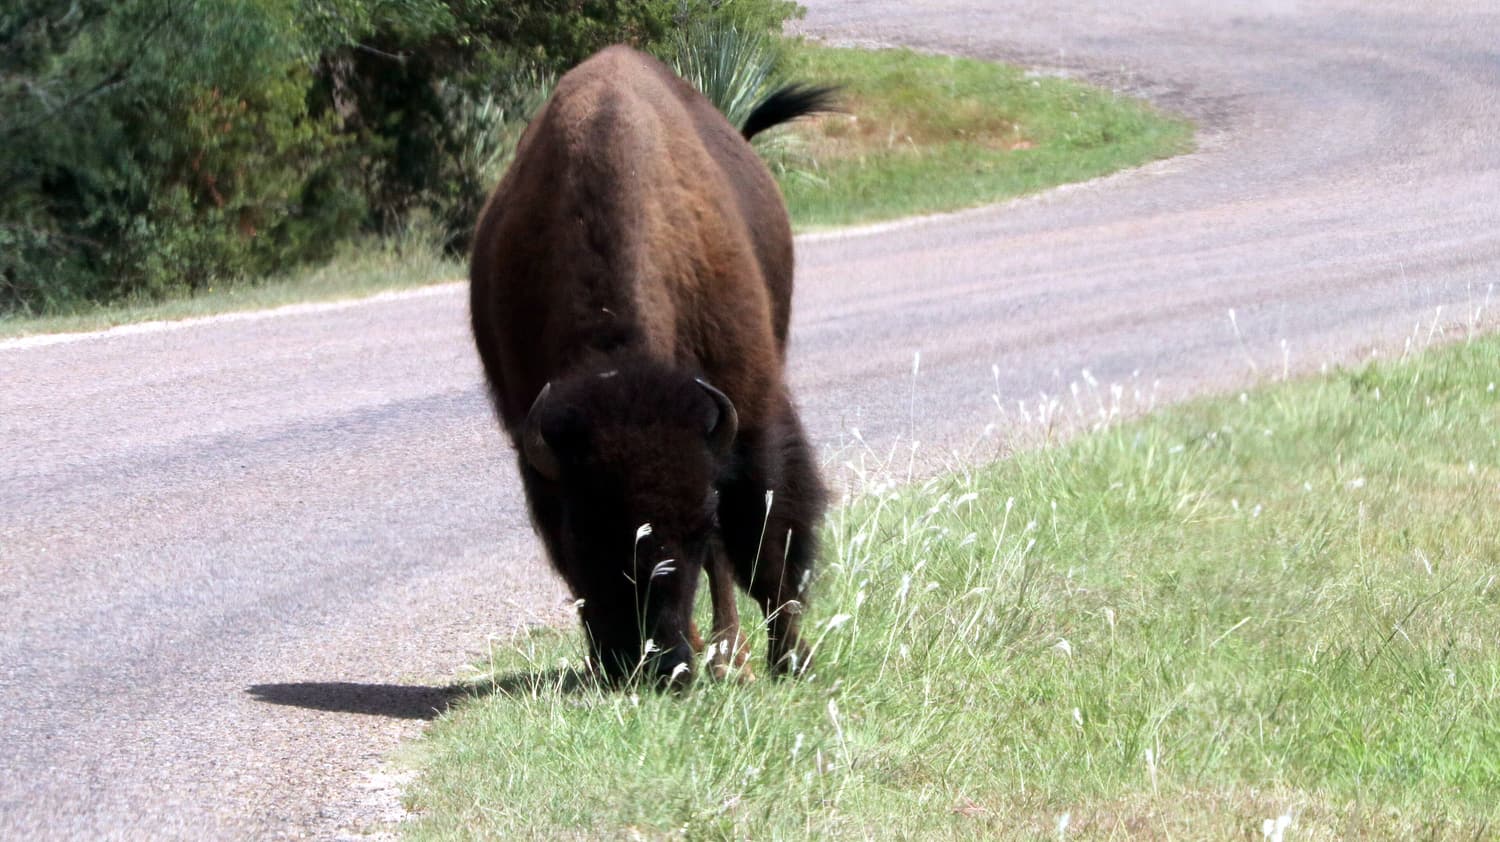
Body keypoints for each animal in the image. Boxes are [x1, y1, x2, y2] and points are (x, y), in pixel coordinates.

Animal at [469, 46, 832, 685]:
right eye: (583, 529)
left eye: (699, 522)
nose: (658, 662)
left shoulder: (750, 419)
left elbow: (765, 545)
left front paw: (791, 660)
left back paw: (733, 656)